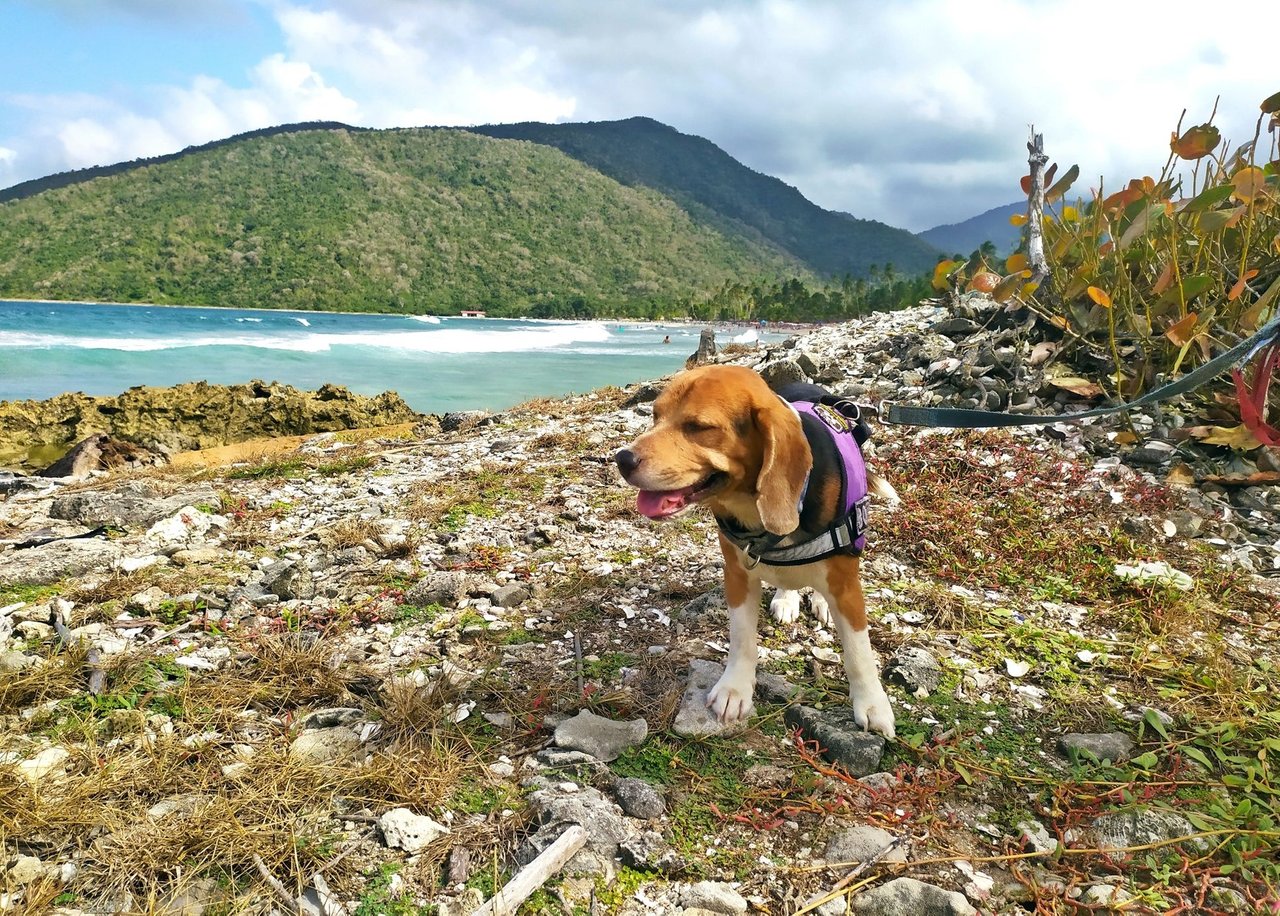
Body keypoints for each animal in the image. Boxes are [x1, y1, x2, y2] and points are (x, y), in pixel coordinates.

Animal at [614, 363, 896, 736]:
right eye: (655, 416)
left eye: (699, 427)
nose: (622, 458)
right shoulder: (737, 574)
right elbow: (742, 638)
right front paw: (735, 689)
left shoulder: (847, 587)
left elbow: (858, 652)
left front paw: (872, 705)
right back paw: (786, 598)